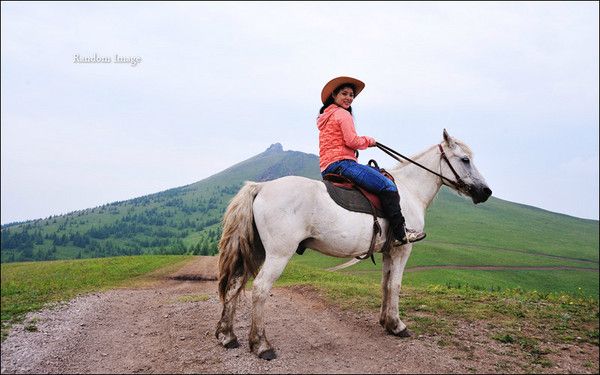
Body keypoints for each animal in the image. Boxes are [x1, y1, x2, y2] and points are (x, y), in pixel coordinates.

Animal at [216, 130, 492, 362]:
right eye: (465, 159)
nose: (486, 192)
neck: (409, 191)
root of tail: (262, 186)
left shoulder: (388, 251)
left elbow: (385, 284)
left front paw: (385, 322)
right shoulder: (402, 249)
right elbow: (396, 285)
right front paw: (398, 325)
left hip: (256, 250)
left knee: (234, 285)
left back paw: (228, 336)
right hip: (277, 254)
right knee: (260, 289)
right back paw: (261, 345)